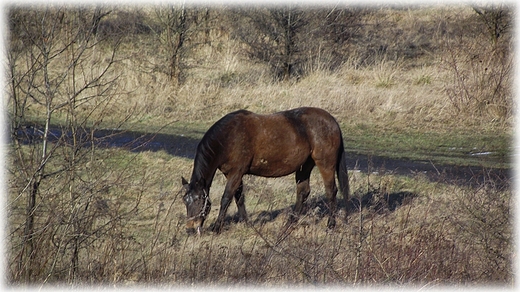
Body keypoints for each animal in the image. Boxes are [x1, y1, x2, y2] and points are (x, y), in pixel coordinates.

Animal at [182, 107, 350, 235]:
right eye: (185, 200)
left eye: (199, 199)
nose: (190, 229)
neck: (228, 137)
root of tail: (332, 122)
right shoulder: (233, 174)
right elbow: (239, 198)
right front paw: (247, 223)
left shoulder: (236, 172)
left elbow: (226, 198)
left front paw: (217, 228)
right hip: (304, 166)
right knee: (303, 192)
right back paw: (289, 224)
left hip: (325, 164)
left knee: (331, 191)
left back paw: (330, 225)